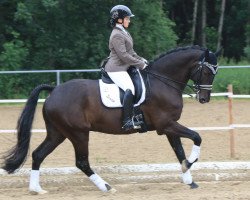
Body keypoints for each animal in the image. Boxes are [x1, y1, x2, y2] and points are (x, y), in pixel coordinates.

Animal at [0, 45, 218, 194]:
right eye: (207, 71)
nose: (204, 99)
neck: (162, 81)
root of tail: (54, 90)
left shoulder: (168, 126)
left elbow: (179, 151)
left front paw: (189, 179)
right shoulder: (166, 125)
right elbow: (197, 137)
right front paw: (190, 163)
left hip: (58, 133)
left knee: (38, 154)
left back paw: (36, 189)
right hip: (78, 133)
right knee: (82, 162)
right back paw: (106, 187)